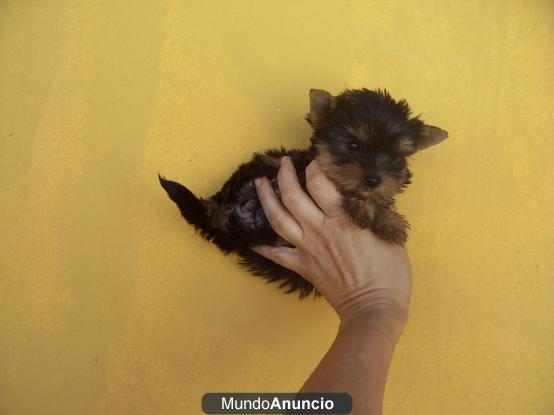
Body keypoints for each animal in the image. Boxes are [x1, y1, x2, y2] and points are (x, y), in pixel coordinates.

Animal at [158, 88, 444, 300]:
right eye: (353, 146)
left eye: (395, 157)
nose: (373, 179)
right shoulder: (304, 171)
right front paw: (374, 212)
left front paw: (387, 219)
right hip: (264, 167)